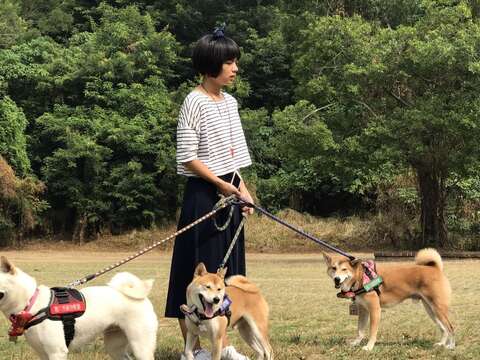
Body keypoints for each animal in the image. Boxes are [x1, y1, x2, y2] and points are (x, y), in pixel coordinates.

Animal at [0, 256, 158, 360]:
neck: (32, 303)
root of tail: (142, 297)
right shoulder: (43, 354)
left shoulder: (57, 352)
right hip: (115, 346)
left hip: (141, 346)